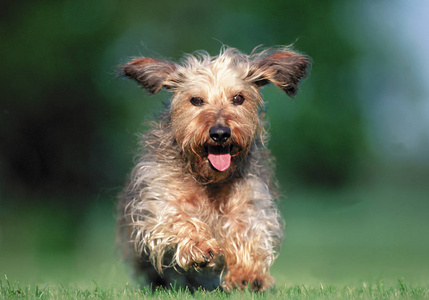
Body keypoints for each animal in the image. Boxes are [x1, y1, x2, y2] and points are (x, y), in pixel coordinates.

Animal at [117, 45, 310, 292]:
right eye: (196, 100)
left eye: (238, 98)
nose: (220, 133)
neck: (209, 180)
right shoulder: (160, 197)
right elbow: (177, 218)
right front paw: (200, 247)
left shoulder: (248, 202)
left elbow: (245, 231)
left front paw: (247, 275)